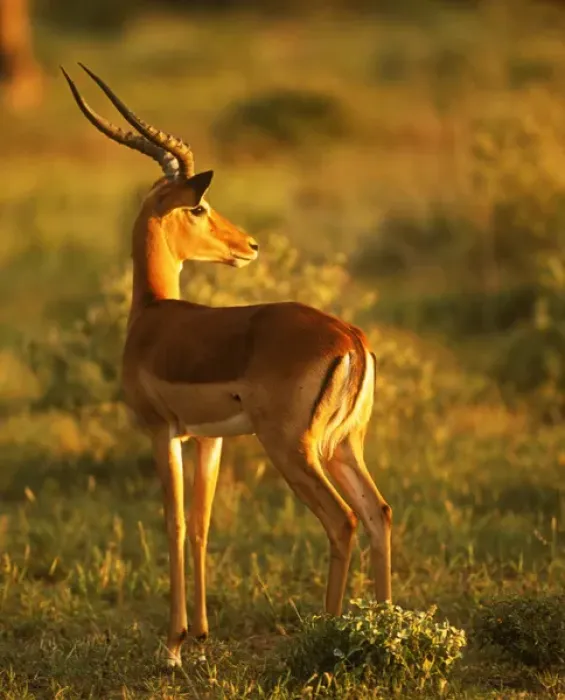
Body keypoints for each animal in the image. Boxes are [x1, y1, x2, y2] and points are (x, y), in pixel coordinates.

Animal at [62, 64, 392, 668]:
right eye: (199, 208)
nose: (250, 245)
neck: (151, 318)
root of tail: (351, 338)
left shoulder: (161, 431)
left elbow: (172, 523)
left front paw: (172, 645)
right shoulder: (208, 438)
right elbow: (201, 524)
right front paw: (200, 636)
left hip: (293, 448)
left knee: (343, 520)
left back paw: (328, 636)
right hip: (343, 446)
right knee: (377, 512)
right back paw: (381, 629)